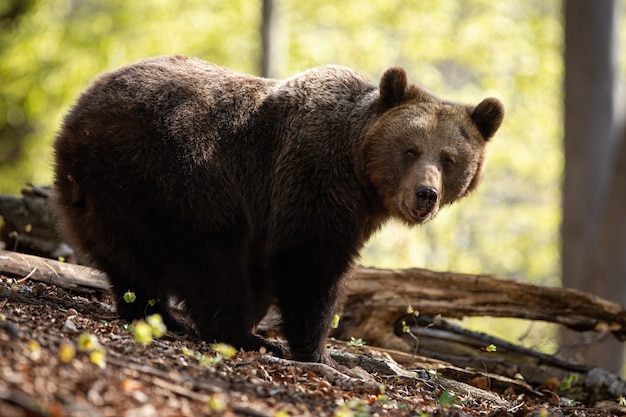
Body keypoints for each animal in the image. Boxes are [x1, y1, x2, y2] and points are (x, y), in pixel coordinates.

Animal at [52, 54, 502, 364]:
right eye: (410, 150)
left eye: (449, 159)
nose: (426, 193)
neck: (360, 174)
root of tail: (77, 111)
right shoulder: (312, 177)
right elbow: (310, 265)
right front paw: (316, 350)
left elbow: (269, 267)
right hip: (172, 169)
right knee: (208, 255)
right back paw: (235, 333)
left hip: (107, 190)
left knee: (128, 259)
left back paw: (155, 313)